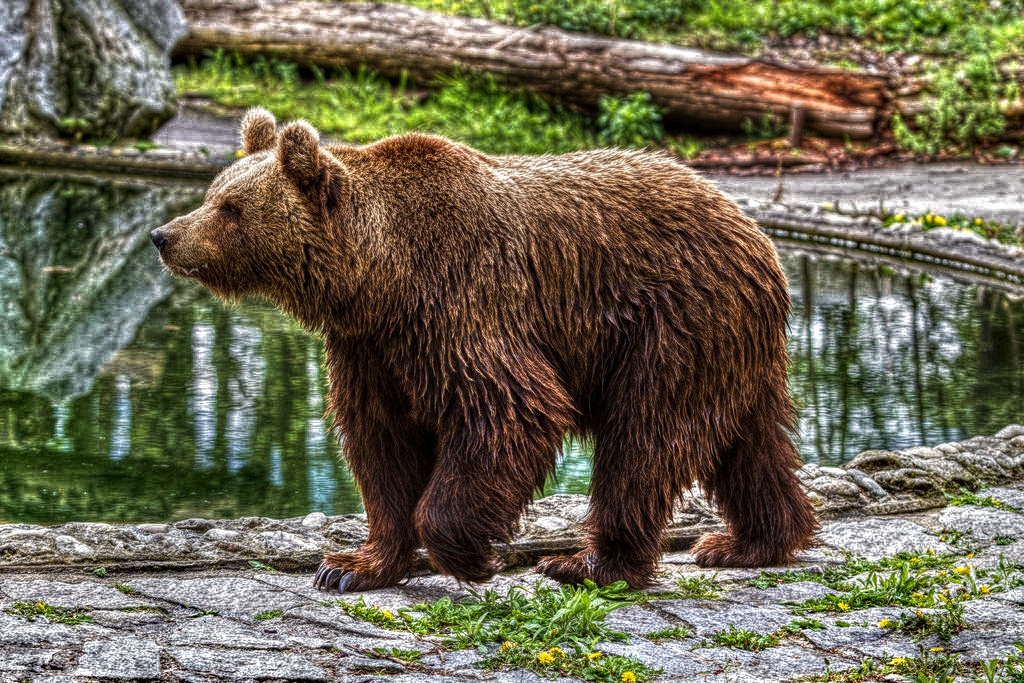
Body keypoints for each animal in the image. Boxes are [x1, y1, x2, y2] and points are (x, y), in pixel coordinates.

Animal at [151, 108, 817, 592]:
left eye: (230, 209)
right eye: (213, 192)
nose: (164, 235)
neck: (379, 278)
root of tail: (755, 233)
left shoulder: (462, 306)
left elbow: (509, 410)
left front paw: (471, 557)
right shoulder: (372, 348)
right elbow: (380, 442)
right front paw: (351, 565)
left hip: (671, 323)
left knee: (644, 440)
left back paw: (590, 563)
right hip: (729, 345)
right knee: (749, 443)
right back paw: (748, 542)